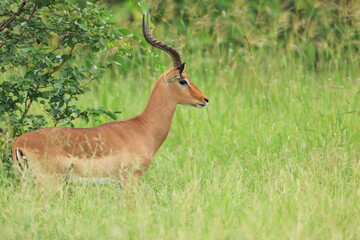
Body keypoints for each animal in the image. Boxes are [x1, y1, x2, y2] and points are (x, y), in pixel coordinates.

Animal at [11, 13, 210, 188]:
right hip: (49, 183)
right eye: (183, 80)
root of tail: (18, 143)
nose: (204, 99)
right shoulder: (131, 179)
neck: (143, 127)